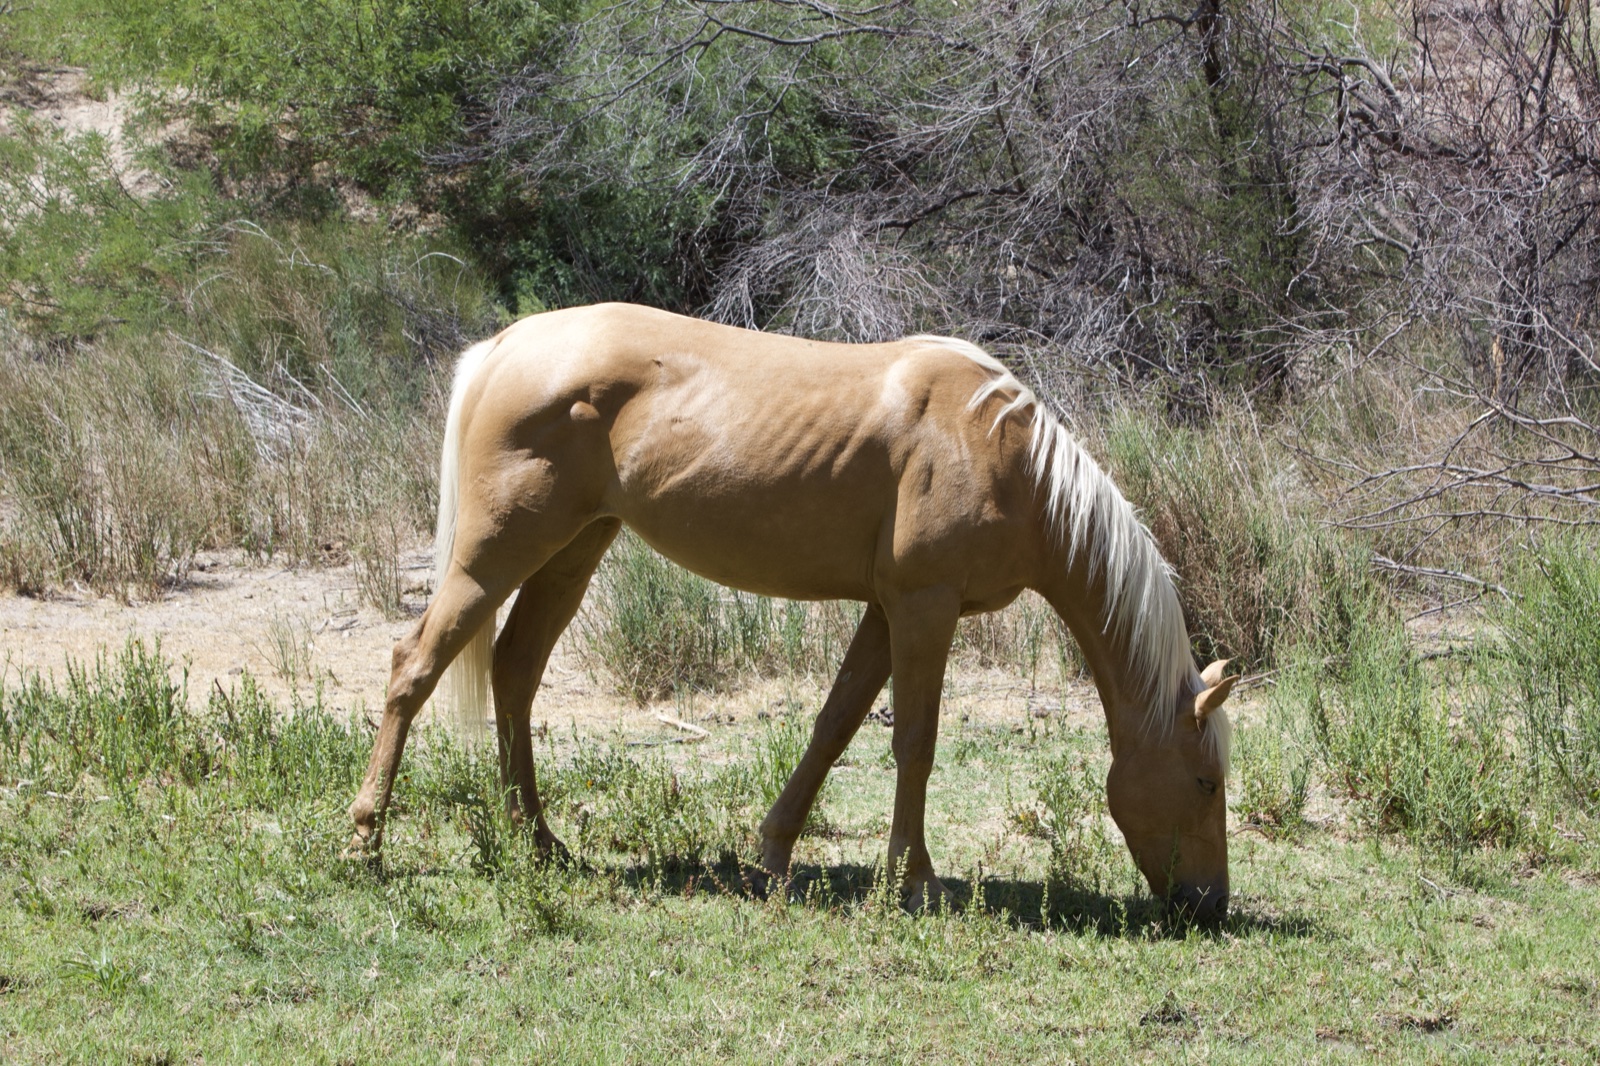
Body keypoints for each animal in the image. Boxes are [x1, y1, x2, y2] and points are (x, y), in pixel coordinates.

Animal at [346, 303, 1238, 917]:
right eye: (1204, 781)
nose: (1209, 905)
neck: (1000, 452)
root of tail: (505, 347)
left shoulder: (886, 610)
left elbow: (835, 727)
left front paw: (773, 855)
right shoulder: (925, 608)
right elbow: (915, 744)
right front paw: (915, 881)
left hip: (573, 550)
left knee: (515, 671)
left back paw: (538, 843)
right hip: (495, 554)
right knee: (413, 665)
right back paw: (366, 840)